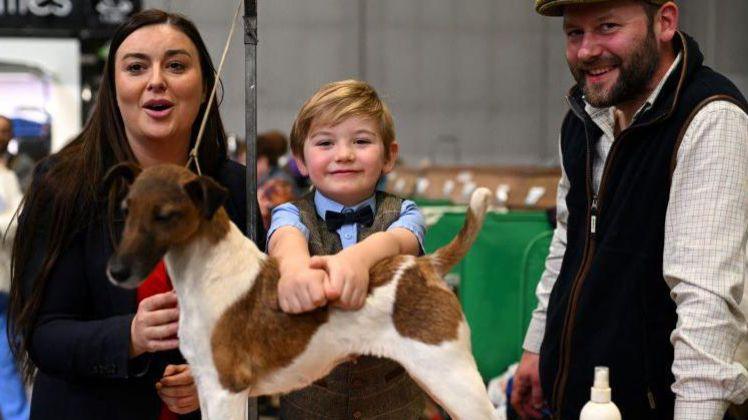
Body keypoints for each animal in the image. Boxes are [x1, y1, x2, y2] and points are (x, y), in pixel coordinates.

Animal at [105, 163, 500, 420]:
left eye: (164, 215)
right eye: (126, 209)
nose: (116, 270)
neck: (209, 274)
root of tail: (425, 265)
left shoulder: (225, 390)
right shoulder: (207, 385)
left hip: (451, 376)